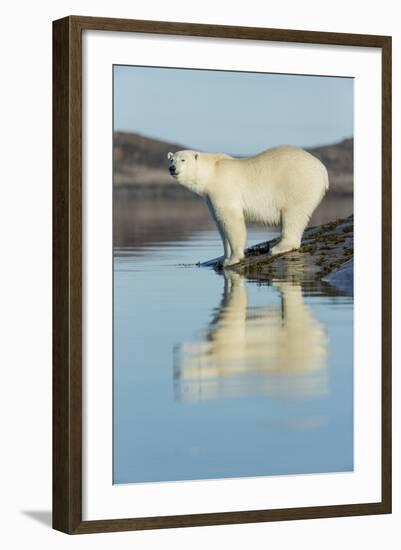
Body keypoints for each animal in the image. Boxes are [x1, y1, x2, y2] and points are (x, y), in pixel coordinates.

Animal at [167, 147, 326, 268]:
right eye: (171, 159)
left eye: (183, 160)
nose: (172, 168)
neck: (212, 172)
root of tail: (322, 169)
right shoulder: (210, 198)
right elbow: (220, 223)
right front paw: (223, 258)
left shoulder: (224, 189)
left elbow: (232, 221)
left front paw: (233, 259)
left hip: (297, 184)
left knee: (293, 214)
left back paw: (278, 247)